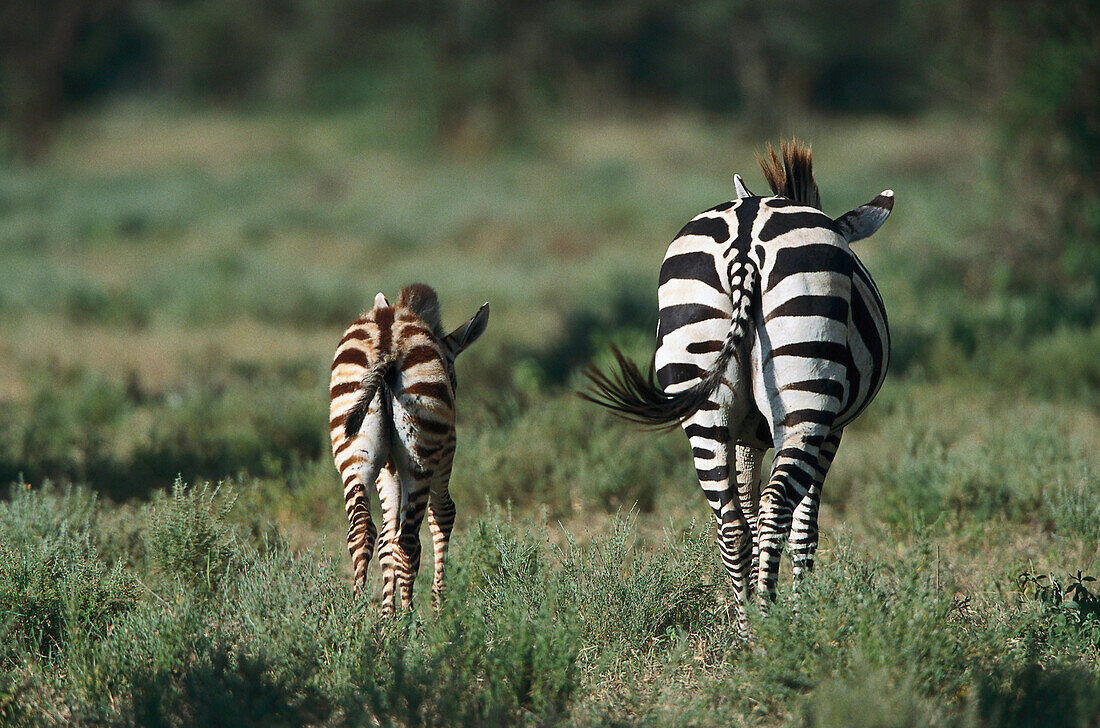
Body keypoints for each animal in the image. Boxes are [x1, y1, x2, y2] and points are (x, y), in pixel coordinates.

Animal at [327, 285, 488, 615]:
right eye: (452, 372)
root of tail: (387, 340)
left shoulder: (386, 470)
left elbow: (386, 539)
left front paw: (387, 613)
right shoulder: (445, 456)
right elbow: (442, 515)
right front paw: (439, 606)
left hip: (352, 448)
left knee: (362, 531)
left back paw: (355, 617)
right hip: (420, 458)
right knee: (410, 541)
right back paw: (409, 620)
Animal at [580, 139, 888, 637]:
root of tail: (745, 240)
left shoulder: (745, 436)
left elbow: (749, 508)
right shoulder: (832, 430)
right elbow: (804, 527)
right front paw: (801, 613)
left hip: (703, 400)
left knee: (733, 525)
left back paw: (748, 634)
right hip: (807, 402)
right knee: (776, 512)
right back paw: (772, 631)